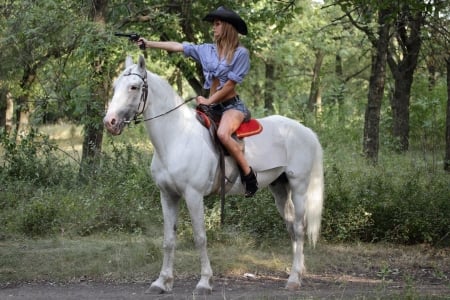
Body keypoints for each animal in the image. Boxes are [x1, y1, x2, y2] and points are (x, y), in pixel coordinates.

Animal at [104, 55, 324, 294]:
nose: (110, 122)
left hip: (299, 186)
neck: (177, 137)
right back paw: (298, 272)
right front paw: (162, 282)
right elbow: (168, 239)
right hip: (280, 188)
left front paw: (204, 282)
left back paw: (293, 279)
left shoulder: (193, 195)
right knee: (291, 228)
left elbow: (200, 237)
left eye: (134, 87)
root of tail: (306, 131)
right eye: (114, 87)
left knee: (300, 229)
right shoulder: (168, 195)